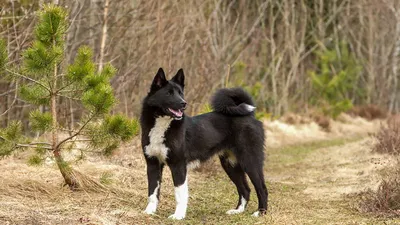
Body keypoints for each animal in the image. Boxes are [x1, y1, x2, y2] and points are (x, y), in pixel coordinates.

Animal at [141, 68, 268, 220]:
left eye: (180, 93)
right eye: (168, 93)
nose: (184, 103)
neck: (163, 124)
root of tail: (250, 116)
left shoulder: (178, 165)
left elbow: (180, 194)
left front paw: (178, 215)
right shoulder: (153, 164)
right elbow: (152, 192)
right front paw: (149, 211)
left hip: (250, 161)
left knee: (262, 189)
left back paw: (261, 213)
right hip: (230, 164)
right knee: (245, 189)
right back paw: (238, 211)